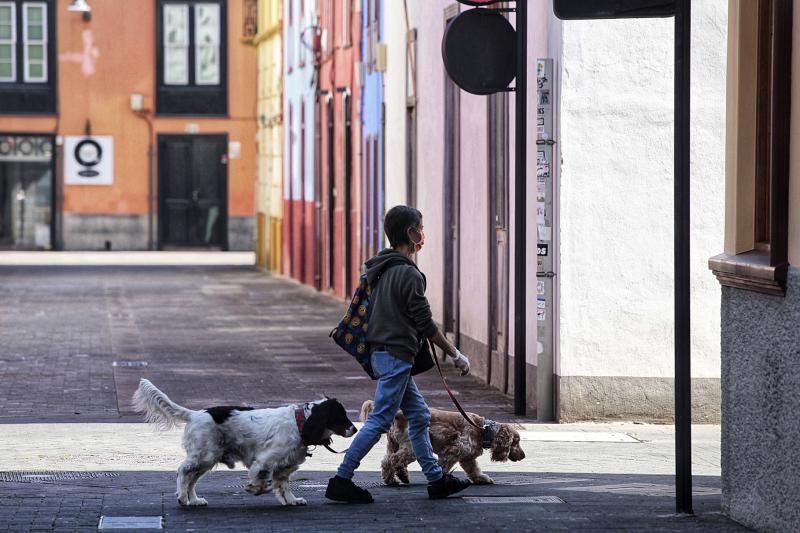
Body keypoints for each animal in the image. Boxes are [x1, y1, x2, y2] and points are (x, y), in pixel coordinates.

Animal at [133, 376, 354, 504]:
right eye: (341, 416)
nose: (355, 429)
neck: (299, 423)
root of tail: (195, 414)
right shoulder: (265, 460)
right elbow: (263, 480)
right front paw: (255, 488)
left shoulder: (285, 466)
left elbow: (283, 486)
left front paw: (292, 500)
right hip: (204, 456)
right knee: (183, 472)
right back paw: (181, 497)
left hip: (207, 460)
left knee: (191, 480)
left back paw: (194, 501)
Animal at [362, 400, 524, 486]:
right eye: (516, 442)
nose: (523, 456)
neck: (483, 429)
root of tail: (399, 414)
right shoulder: (454, 450)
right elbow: (443, 466)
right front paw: (440, 478)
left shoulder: (467, 458)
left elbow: (474, 470)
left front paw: (482, 478)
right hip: (411, 447)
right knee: (391, 460)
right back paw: (391, 480)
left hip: (394, 445)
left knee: (390, 460)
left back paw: (398, 477)